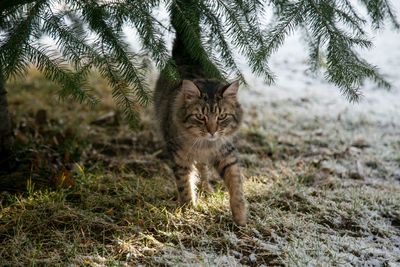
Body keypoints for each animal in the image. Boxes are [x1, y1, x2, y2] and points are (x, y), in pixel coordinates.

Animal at [153, 29, 247, 227]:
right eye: (200, 117)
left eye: (221, 117)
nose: (212, 131)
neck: (205, 145)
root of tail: (186, 54)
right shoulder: (180, 158)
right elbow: (185, 185)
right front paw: (189, 210)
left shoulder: (227, 155)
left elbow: (237, 187)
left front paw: (241, 218)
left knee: (203, 170)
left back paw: (207, 189)